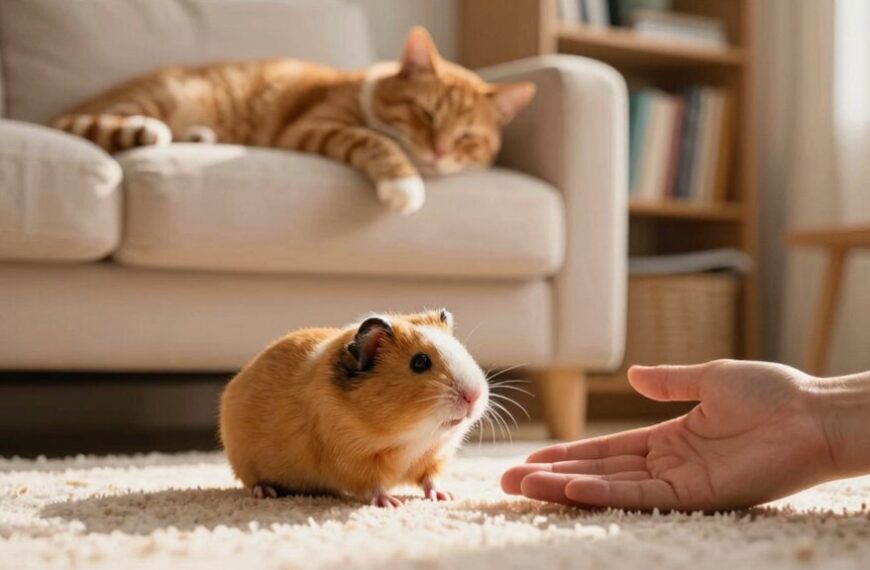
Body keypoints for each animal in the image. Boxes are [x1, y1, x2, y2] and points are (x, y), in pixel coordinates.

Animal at [219, 308, 489, 507]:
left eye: (461, 349)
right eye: (420, 362)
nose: (474, 396)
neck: (411, 439)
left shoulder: (433, 457)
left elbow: (430, 481)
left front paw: (447, 497)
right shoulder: (354, 462)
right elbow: (374, 487)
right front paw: (391, 504)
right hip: (245, 464)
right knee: (252, 482)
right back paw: (266, 493)